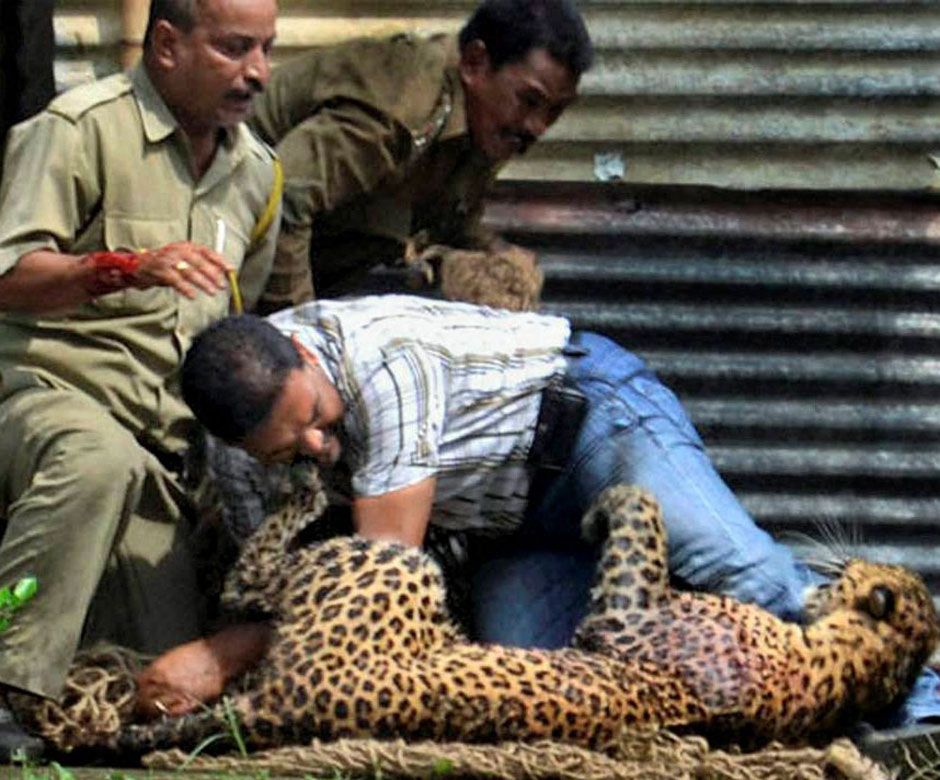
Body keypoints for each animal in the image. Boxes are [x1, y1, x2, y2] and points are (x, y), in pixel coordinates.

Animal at [117, 482, 940, 756]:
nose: (844, 560)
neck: (838, 674)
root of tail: (283, 706)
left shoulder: (626, 615)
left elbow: (643, 510)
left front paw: (599, 509)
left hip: (387, 567)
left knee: (249, 582)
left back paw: (304, 490)